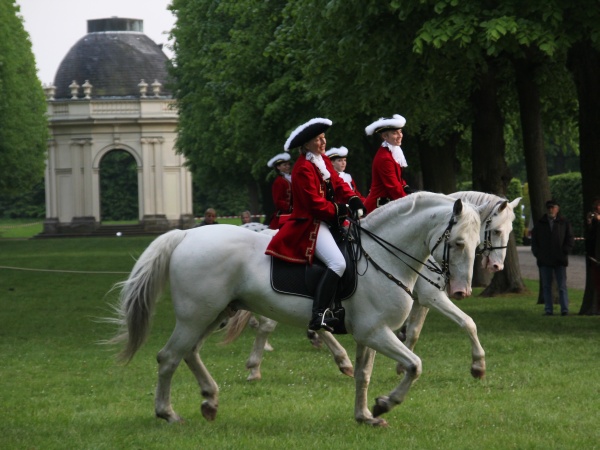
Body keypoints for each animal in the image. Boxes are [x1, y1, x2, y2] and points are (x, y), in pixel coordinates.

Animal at [108, 192, 482, 428]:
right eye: (458, 243)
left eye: (478, 244)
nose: (460, 291)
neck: (382, 256)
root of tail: (185, 236)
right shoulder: (376, 332)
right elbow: (415, 365)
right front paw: (385, 403)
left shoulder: (370, 334)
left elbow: (364, 375)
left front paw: (365, 415)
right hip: (196, 316)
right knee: (169, 357)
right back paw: (168, 414)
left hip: (214, 315)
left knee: (189, 353)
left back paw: (210, 400)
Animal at [237, 192, 516, 382]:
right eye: (495, 230)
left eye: (477, 239)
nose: (462, 290)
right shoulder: (432, 296)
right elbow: (467, 322)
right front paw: (478, 365)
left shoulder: (420, 299)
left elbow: (414, 332)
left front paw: (402, 364)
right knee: (269, 325)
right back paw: (254, 367)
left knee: (312, 323)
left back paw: (341, 360)